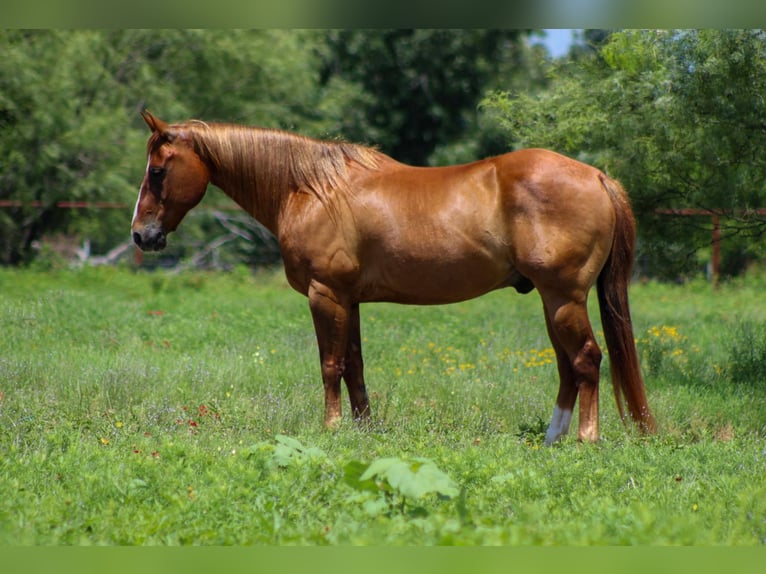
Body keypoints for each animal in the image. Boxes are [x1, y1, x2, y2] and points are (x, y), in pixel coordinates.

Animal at [131, 110, 656, 444]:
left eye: (157, 171)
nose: (141, 235)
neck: (310, 189)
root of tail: (597, 177)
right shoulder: (350, 299)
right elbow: (355, 367)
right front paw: (364, 431)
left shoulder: (326, 295)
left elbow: (330, 365)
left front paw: (331, 429)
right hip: (552, 302)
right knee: (568, 366)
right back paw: (552, 437)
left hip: (563, 297)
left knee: (587, 360)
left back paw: (586, 438)